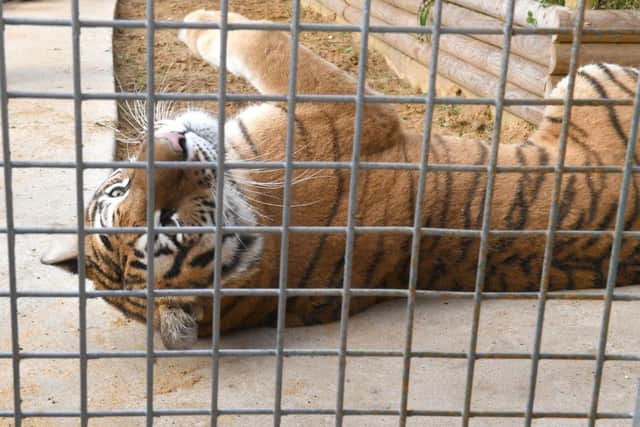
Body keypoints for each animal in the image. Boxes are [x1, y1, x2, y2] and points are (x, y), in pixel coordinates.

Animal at [41, 9, 640, 349]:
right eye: (167, 222)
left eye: (120, 189)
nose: (169, 147)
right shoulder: (349, 107)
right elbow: (265, 39)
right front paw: (197, 20)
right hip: (596, 74)